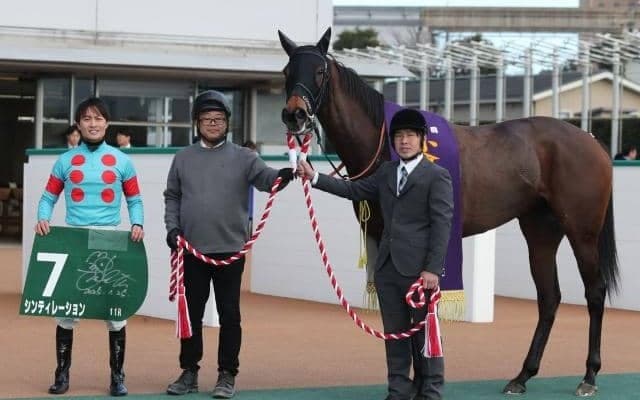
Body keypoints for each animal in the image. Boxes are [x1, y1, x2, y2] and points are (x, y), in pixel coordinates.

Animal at [278, 27, 619, 397]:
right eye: (286, 71)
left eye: (320, 71)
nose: (295, 114)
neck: (388, 146)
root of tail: (592, 140)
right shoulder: (385, 242)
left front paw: (419, 384)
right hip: (540, 232)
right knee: (549, 297)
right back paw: (522, 376)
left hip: (582, 232)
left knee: (594, 292)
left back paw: (589, 376)